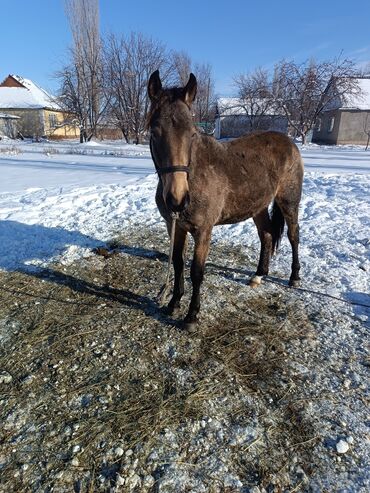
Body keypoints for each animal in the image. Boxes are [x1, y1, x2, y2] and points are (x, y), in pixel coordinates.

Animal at [147, 70, 304, 330]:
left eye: (192, 134)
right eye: (154, 132)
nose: (177, 199)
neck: (195, 175)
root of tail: (290, 142)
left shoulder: (203, 230)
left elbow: (196, 271)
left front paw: (192, 315)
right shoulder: (175, 226)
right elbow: (178, 263)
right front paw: (173, 303)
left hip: (289, 201)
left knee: (293, 235)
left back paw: (294, 277)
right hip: (258, 207)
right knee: (267, 234)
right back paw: (258, 275)